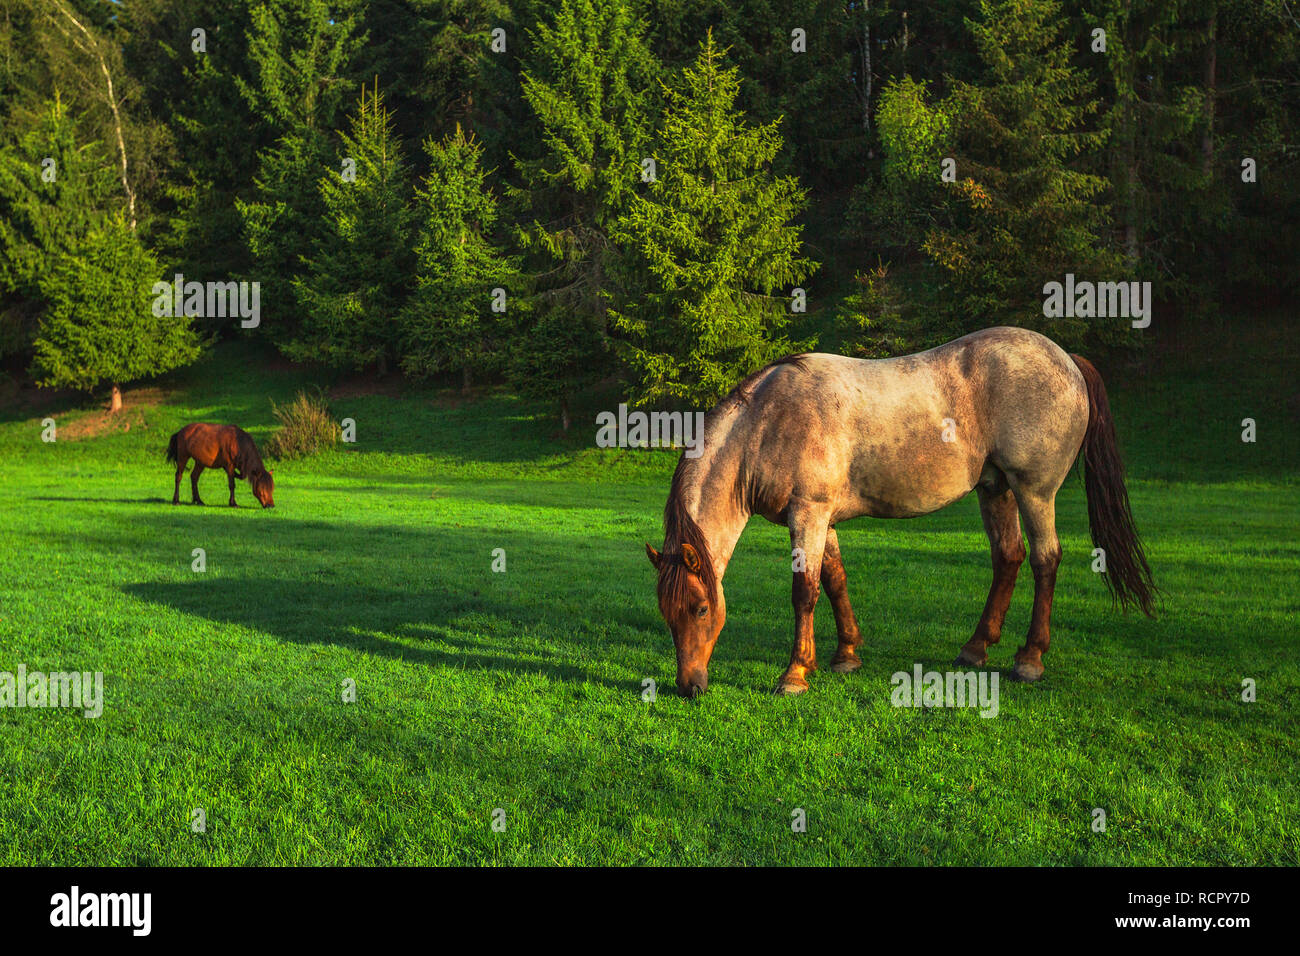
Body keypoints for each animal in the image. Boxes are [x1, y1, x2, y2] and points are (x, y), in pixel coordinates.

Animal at [645, 326, 1155, 697]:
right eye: (666, 613)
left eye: (701, 607)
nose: (688, 686)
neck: (769, 422)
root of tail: (1067, 359)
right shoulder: (823, 519)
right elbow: (835, 580)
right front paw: (846, 655)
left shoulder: (808, 514)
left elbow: (805, 591)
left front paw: (795, 674)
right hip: (996, 490)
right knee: (1008, 557)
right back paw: (975, 649)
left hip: (1034, 492)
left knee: (1045, 560)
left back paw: (1029, 659)